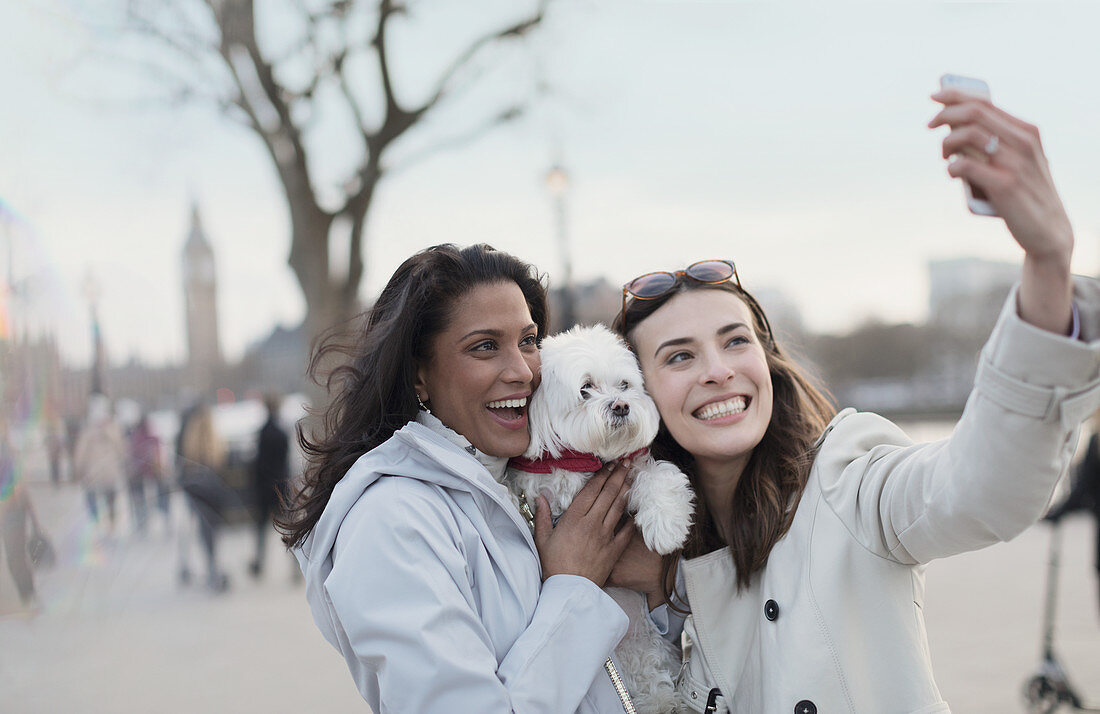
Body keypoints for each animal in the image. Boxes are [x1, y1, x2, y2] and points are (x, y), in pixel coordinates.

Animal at [503, 323, 690, 712]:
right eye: (585, 388)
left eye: (624, 385)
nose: (621, 406)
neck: (581, 459)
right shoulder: (534, 488)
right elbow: (516, 492)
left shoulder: (629, 469)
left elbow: (659, 476)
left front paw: (666, 528)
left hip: (641, 645)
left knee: (651, 677)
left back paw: (664, 701)